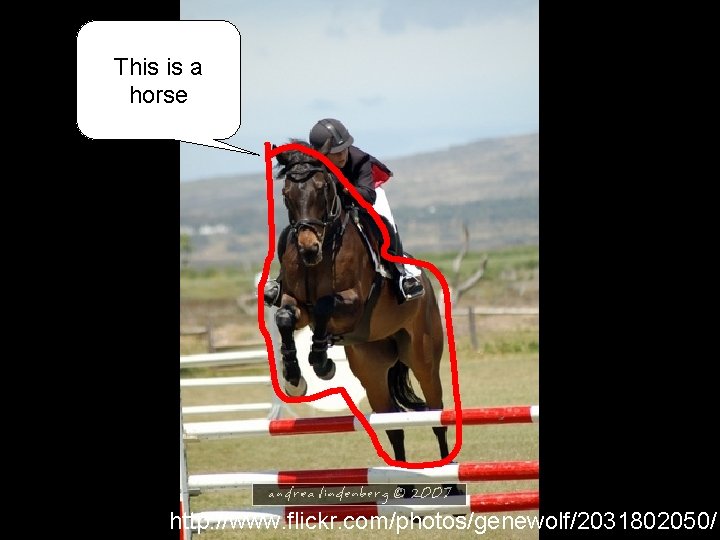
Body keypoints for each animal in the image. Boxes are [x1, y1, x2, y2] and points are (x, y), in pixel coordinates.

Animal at [271, 140, 455, 472]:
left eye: (322, 188)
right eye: (286, 193)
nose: (308, 249)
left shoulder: (353, 303)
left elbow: (324, 306)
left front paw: (322, 363)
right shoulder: (296, 304)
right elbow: (284, 317)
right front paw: (294, 378)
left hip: (423, 357)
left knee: (436, 416)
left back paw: (450, 478)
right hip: (372, 369)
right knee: (393, 425)